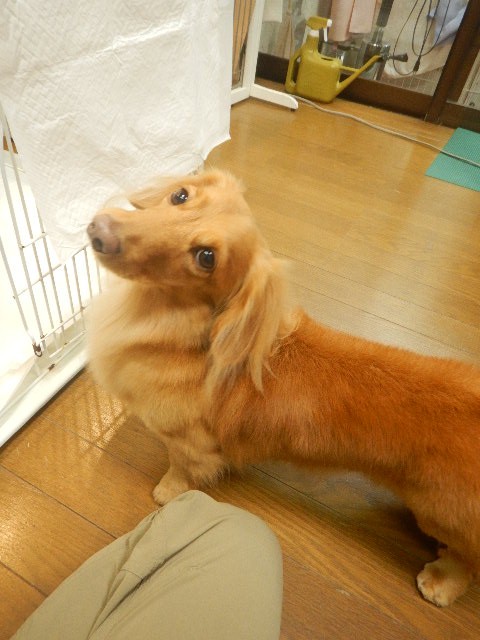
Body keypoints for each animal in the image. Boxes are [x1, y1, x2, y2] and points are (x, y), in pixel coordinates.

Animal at [87, 170, 480, 607]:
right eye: (180, 196)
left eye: (206, 257)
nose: (100, 230)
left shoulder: (188, 442)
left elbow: (183, 469)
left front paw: (167, 494)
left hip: (440, 513)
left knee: (467, 559)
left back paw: (441, 581)